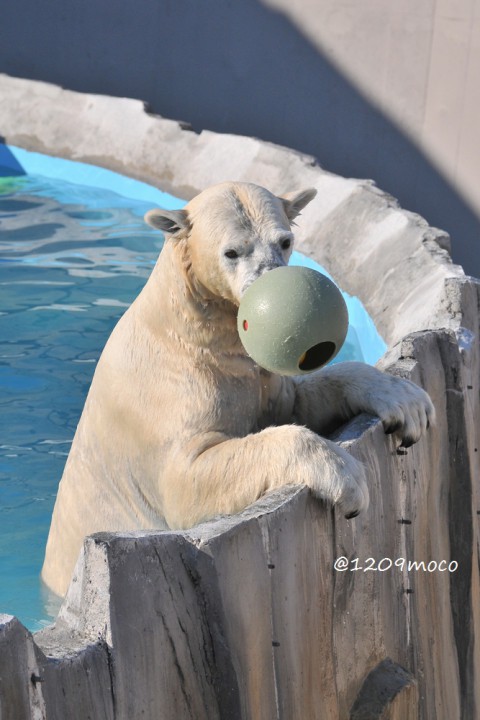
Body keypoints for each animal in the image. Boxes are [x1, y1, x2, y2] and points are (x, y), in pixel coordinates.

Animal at [42, 181, 436, 596]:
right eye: (232, 251)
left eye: (285, 241)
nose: (272, 288)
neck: (189, 330)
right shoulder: (166, 398)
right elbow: (187, 478)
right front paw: (347, 478)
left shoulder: (255, 376)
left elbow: (298, 402)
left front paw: (408, 403)